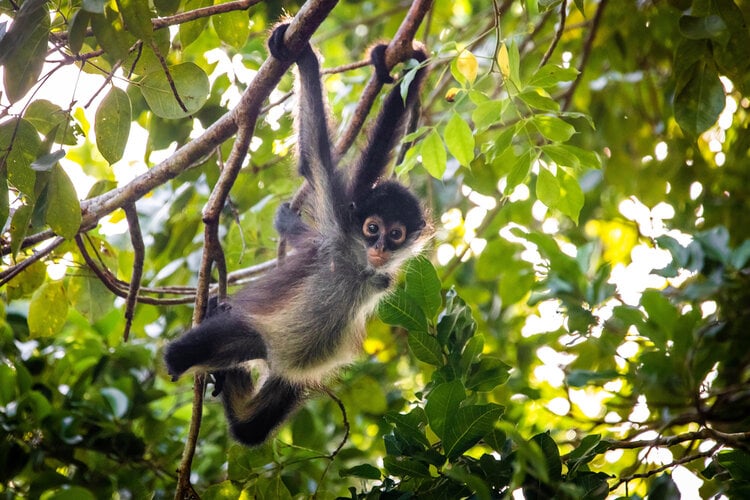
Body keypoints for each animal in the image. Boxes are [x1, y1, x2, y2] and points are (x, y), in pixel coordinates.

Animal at [163, 24, 430, 446]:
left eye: (396, 234)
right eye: (372, 229)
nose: (380, 247)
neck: (359, 267)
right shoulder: (339, 225)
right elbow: (313, 157)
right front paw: (305, 59)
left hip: (282, 373)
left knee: (251, 428)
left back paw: (232, 382)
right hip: (252, 332)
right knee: (177, 357)